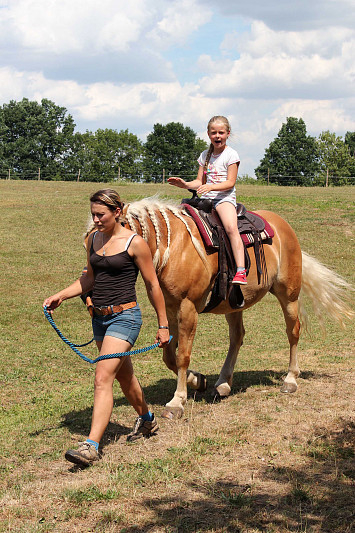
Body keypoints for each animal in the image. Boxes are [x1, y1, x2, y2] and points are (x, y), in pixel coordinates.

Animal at [85, 197, 354, 418]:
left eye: (108, 240)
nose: (91, 294)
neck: (175, 247)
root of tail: (282, 226)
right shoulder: (169, 309)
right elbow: (169, 356)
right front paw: (198, 380)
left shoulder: (187, 308)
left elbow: (182, 355)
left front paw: (177, 402)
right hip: (234, 305)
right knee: (237, 337)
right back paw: (223, 384)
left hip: (288, 295)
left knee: (293, 332)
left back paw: (290, 379)